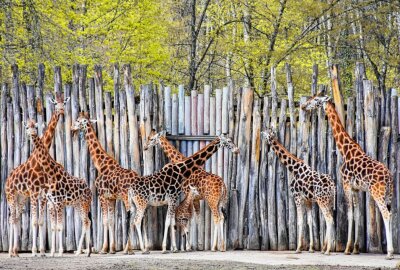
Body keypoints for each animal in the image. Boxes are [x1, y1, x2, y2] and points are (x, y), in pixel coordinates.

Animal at [5, 95, 69, 258]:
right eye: (55, 103)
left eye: (64, 103)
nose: (61, 111)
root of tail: (7, 179)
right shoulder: (35, 192)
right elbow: (34, 221)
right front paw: (35, 251)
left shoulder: (42, 194)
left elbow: (40, 221)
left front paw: (42, 251)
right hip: (11, 195)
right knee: (11, 219)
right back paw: (11, 252)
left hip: (21, 197)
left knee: (16, 218)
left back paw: (16, 251)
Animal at [23, 119, 92, 258]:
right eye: (27, 127)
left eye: (35, 127)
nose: (31, 134)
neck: (51, 174)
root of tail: (90, 190)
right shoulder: (51, 203)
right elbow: (53, 227)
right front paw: (52, 253)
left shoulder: (59, 203)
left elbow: (60, 226)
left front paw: (59, 252)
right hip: (77, 205)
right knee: (86, 221)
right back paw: (83, 252)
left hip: (85, 203)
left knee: (86, 222)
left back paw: (86, 252)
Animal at [70, 113, 141, 254]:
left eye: (78, 121)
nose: (71, 128)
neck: (100, 164)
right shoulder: (111, 197)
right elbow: (111, 220)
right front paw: (112, 249)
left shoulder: (101, 195)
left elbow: (105, 221)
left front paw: (104, 249)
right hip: (134, 197)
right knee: (136, 214)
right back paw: (132, 248)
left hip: (126, 197)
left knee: (130, 215)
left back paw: (127, 249)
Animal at [304, 93, 394, 260]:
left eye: (316, 100)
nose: (304, 106)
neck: (345, 150)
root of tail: (389, 177)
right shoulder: (356, 188)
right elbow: (357, 214)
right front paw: (355, 249)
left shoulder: (345, 184)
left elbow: (350, 213)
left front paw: (346, 249)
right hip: (389, 194)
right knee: (390, 213)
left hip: (377, 192)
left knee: (386, 214)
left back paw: (390, 253)